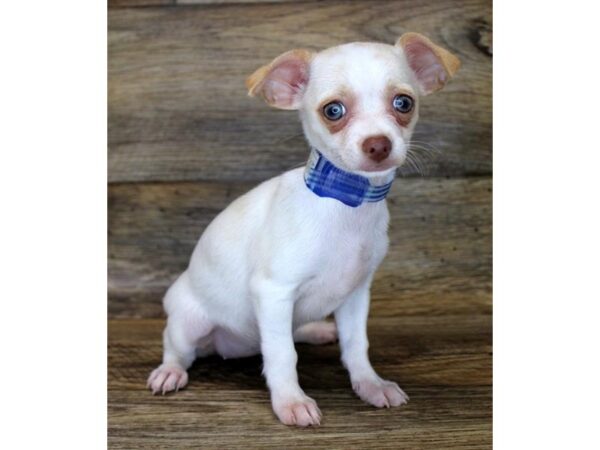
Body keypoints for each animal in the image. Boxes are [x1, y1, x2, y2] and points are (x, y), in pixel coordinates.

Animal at [146, 33, 460, 428]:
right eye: (333, 111)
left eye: (403, 103)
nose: (378, 144)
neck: (346, 201)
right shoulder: (274, 292)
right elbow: (283, 356)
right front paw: (291, 402)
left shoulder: (356, 295)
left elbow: (356, 346)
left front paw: (370, 384)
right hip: (189, 322)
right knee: (176, 347)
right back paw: (170, 372)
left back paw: (315, 329)